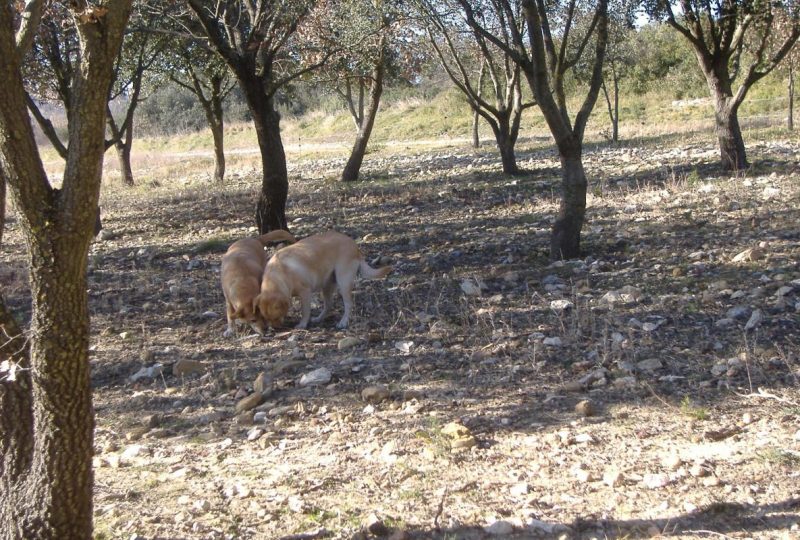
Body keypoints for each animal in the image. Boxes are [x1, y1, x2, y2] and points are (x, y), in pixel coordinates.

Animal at [253, 229, 390, 330]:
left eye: (277, 317)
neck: (278, 274)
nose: (275, 328)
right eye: (266, 318)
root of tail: (355, 246)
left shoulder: (305, 293)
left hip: (344, 282)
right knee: (328, 305)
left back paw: (343, 322)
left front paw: (302, 324)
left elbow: (305, 311)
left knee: (348, 304)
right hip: (327, 286)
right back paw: (319, 319)